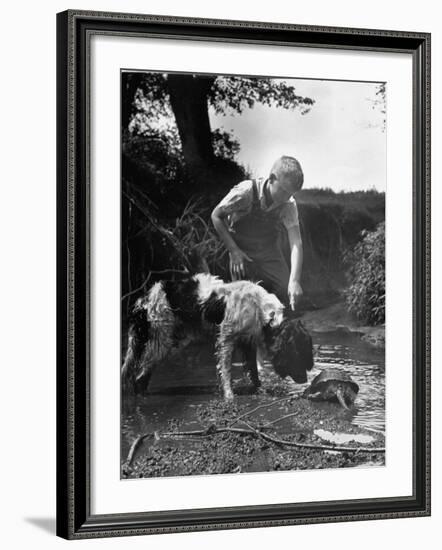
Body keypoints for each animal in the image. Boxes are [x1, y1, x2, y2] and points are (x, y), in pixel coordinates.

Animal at [122, 272, 312, 398]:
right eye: (299, 355)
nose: (305, 381)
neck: (260, 310)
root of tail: (143, 300)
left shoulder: (248, 341)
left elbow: (253, 371)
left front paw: (259, 388)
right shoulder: (226, 339)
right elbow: (226, 371)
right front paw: (229, 396)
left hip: (171, 343)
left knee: (143, 373)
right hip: (162, 341)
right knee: (139, 376)